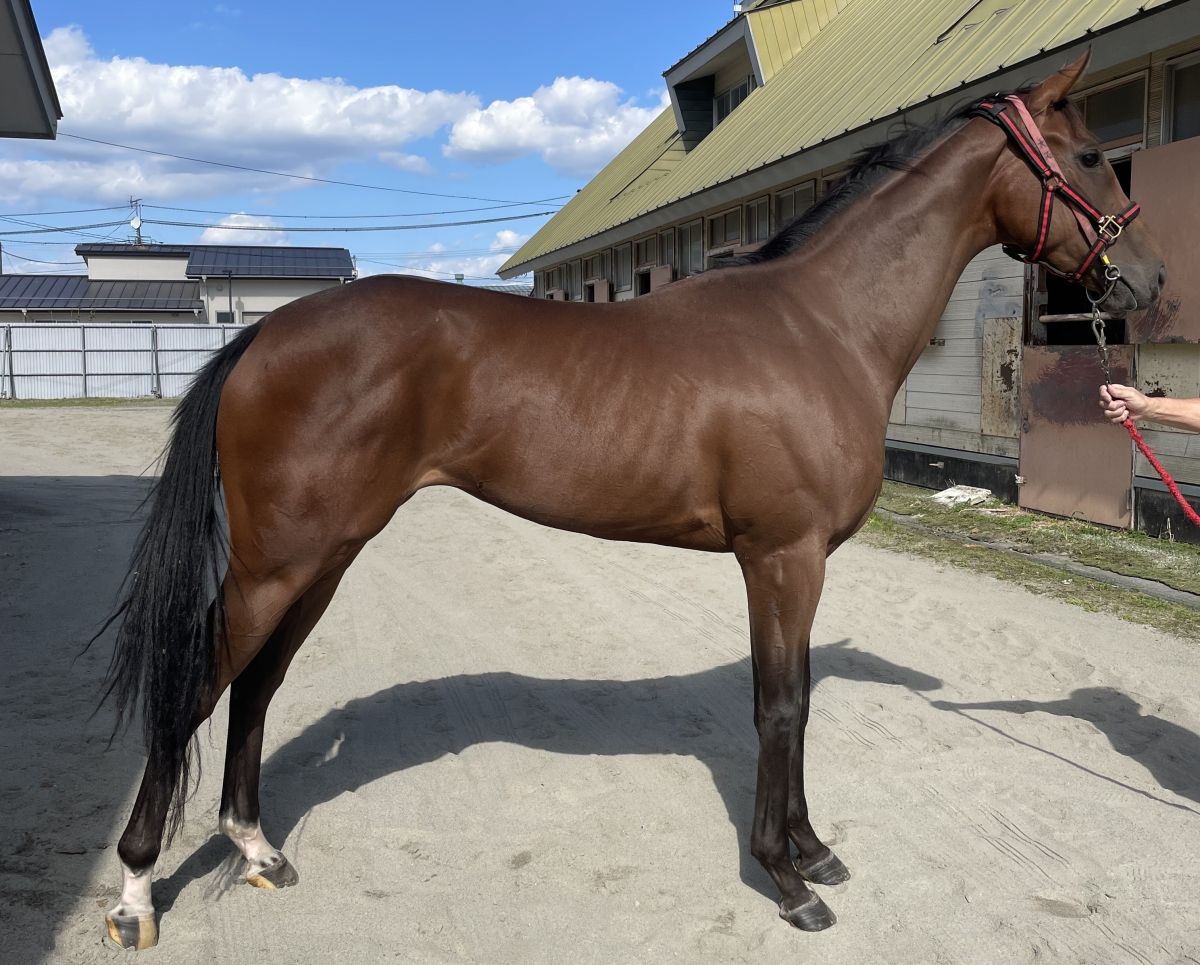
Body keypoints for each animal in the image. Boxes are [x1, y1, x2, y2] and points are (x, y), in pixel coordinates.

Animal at [97, 52, 1165, 949]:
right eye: (1087, 157)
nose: (1151, 281)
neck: (820, 325)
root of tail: (261, 335)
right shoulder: (782, 556)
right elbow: (779, 706)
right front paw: (787, 878)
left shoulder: (799, 562)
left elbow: (799, 702)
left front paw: (814, 850)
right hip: (278, 563)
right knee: (197, 687)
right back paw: (136, 893)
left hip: (321, 557)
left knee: (257, 686)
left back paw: (257, 847)